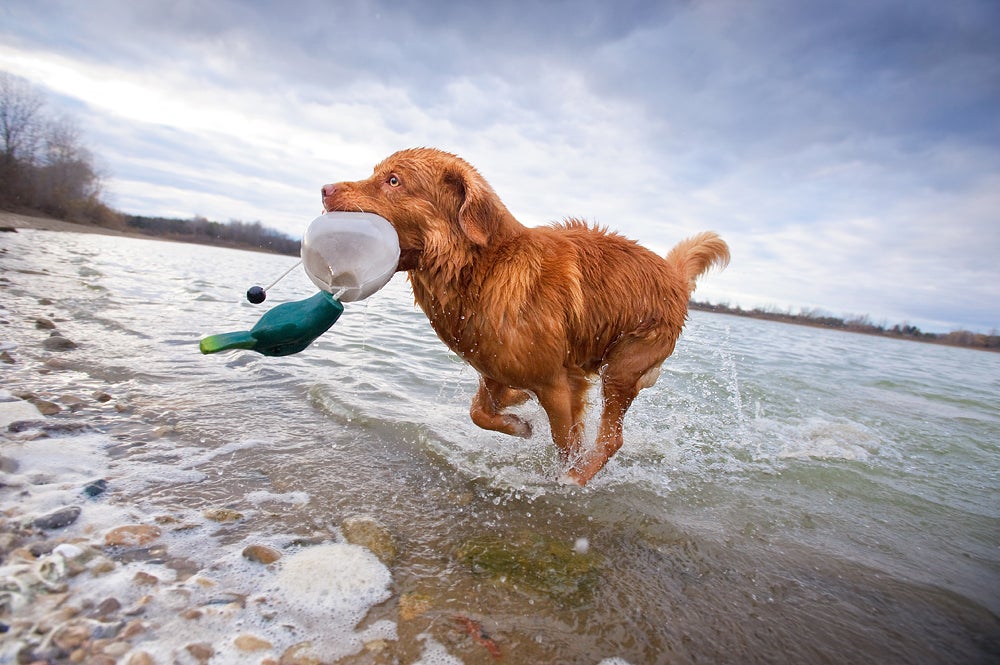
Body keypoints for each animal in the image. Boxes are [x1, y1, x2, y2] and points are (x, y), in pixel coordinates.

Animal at [320, 149, 728, 482]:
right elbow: (479, 412)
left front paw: (561, 475)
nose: (324, 189)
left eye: (393, 180)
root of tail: (673, 274)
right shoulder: (493, 367)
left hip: (623, 366)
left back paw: (579, 479)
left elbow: (566, 443)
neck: (482, 268)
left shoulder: (557, 383)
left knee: (612, 440)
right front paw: (517, 421)